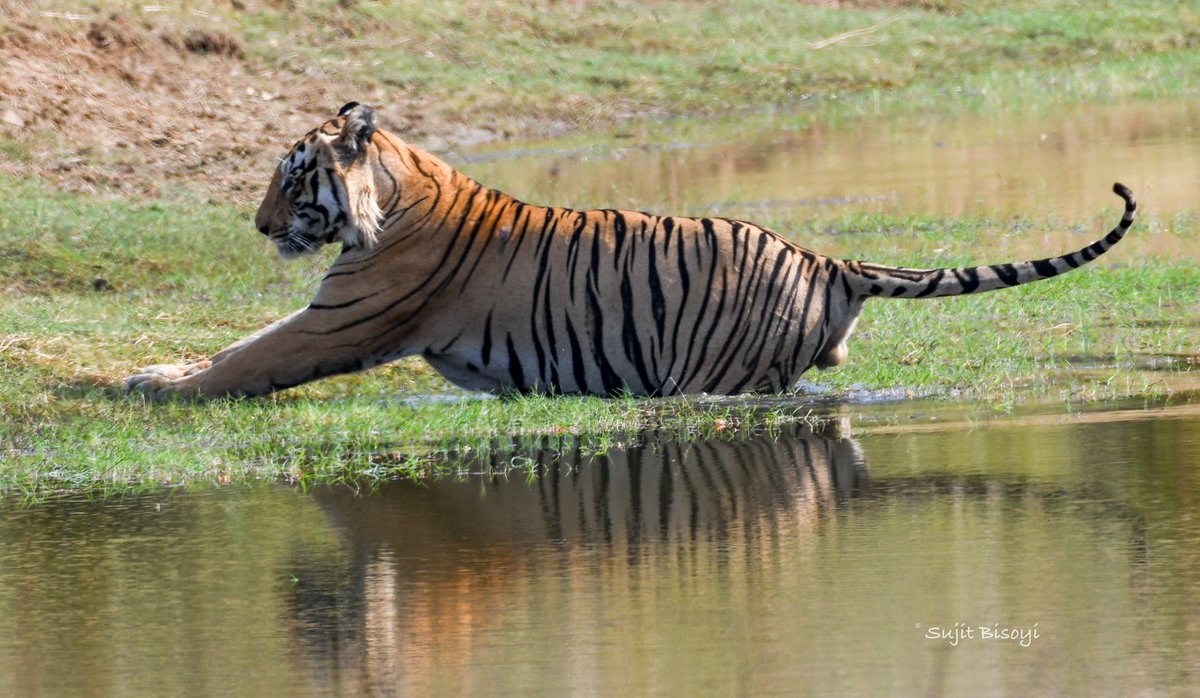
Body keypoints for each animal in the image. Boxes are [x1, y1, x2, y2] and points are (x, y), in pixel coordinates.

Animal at [125, 102, 1137, 400]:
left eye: (292, 180)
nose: (259, 228)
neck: (399, 188)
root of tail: (823, 259)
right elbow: (231, 346)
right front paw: (155, 368)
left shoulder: (340, 318)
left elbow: (250, 355)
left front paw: (149, 386)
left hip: (709, 372)